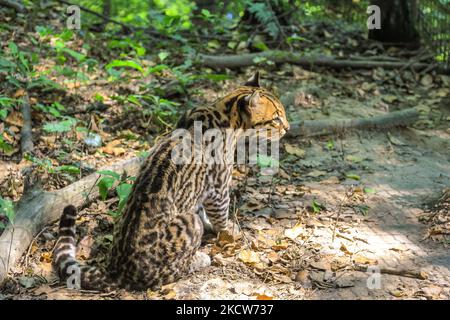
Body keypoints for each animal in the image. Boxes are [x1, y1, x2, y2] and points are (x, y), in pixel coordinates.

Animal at [52, 72, 290, 290]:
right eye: (276, 118)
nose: (287, 128)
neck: (224, 111)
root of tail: (117, 270)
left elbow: (202, 208)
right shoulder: (219, 185)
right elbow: (221, 213)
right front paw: (228, 232)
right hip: (188, 226)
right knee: (171, 271)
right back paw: (199, 259)